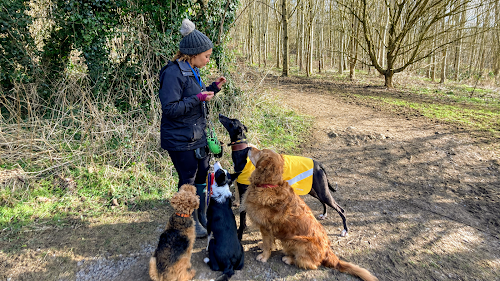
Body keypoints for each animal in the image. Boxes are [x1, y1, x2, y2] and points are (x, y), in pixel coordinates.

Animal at [219, 112, 348, 240]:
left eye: (231, 121)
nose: (220, 115)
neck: (243, 154)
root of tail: (318, 164)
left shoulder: (243, 192)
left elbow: (242, 217)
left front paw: (240, 234)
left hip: (322, 191)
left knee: (340, 209)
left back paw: (345, 230)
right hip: (314, 190)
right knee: (324, 202)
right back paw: (324, 214)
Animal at [242, 147, 378, 280]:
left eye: (260, 152)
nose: (248, 147)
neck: (269, 184)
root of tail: (328, 253)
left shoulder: (265, 227)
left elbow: (267, 244)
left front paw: (264, 256)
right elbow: (269, 242)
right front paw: (263, 246)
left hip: (293, 239)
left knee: (311, 264)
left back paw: (289, 259)